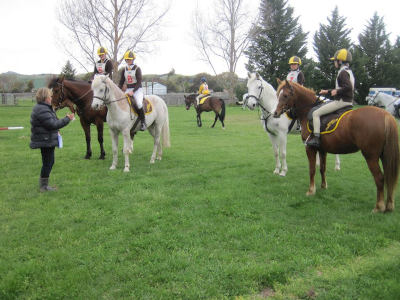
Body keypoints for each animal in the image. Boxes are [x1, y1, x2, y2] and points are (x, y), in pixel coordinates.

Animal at [274, 78, 398, 212]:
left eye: (285, 95)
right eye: (278, 95)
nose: (275, 113)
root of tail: (386, 115)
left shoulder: (310, 148)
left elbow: (312, 169)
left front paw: (311, 190)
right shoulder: (322, 149)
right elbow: (322, 168)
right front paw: (323, 186)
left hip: (371, 156)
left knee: (380, 178)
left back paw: (379, 206)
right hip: (384, 156)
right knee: (389, 177)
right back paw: (389, 205)